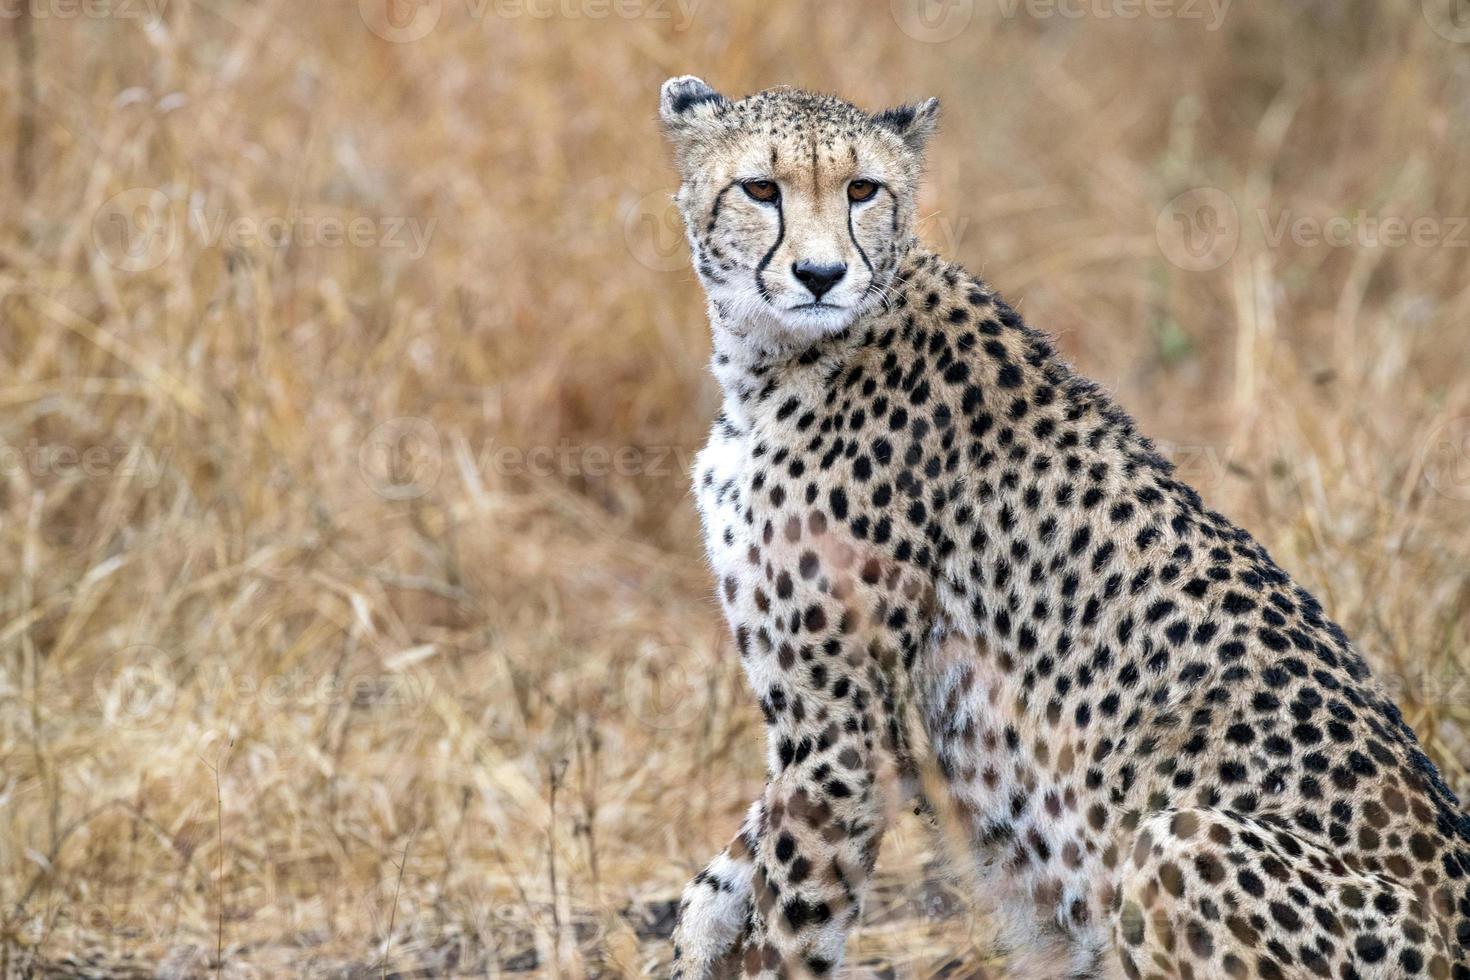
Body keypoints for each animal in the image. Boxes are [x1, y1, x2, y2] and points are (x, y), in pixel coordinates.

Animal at [664, 76, 1470, 980]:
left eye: (862, 190)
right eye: (760, 190)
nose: (820, 273)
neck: (776, 358)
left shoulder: (848, 738)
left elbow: (791, 926)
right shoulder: (824, 728)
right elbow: (725, 876)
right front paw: (699, 936)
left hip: (1178, 838)